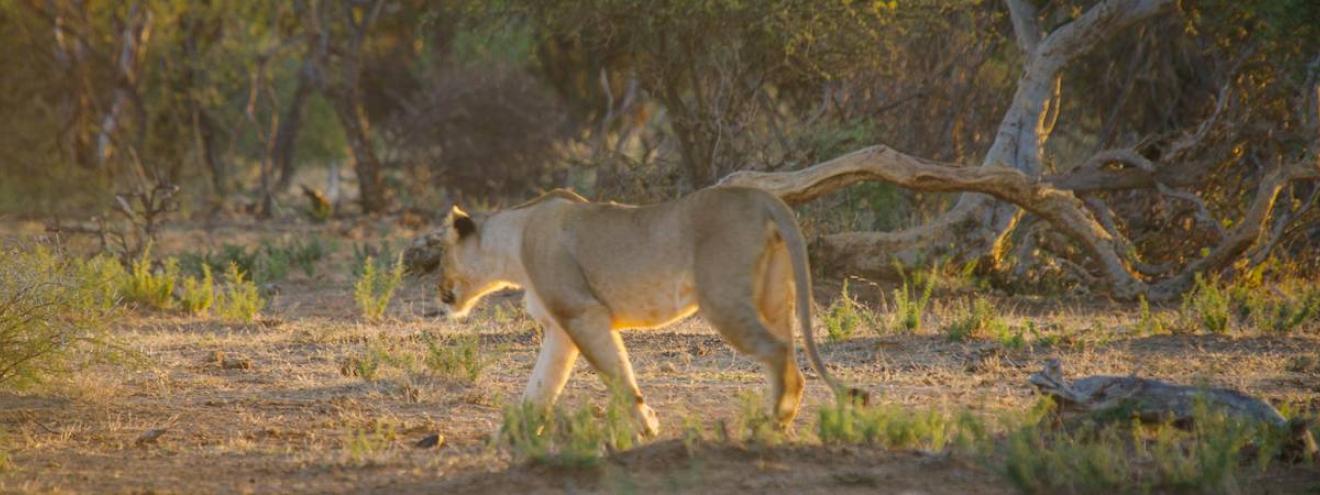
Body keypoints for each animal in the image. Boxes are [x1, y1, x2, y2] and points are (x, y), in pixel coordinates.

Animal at [434, 186, 863, 435]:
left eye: (440, 253)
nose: (438, 291)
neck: (514, 241)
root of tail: (764, 197)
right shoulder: (561, 327)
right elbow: (541, 384)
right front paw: (513, 432)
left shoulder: (582, 312)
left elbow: (617, 375)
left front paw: (647, 426)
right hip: (773, 297)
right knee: (790, 354)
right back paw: (779, 419)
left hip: (722, 298)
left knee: (777, 351)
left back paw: (771, 423)